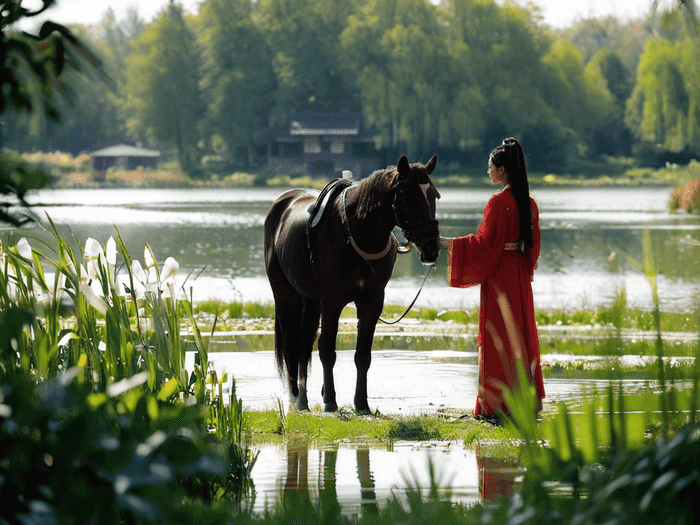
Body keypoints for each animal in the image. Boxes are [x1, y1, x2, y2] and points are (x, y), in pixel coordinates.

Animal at [266, 156, 440, 414]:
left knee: (305, 345)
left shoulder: (372, 301)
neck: (357, 233)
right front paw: (330, 401)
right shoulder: (331, 301)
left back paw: (304, 400)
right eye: (408, 195)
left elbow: (362, 355)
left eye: (434, 195)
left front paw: (361, 403)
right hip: (286, 294)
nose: (431, 247)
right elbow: (327, 350)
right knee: (292, 344)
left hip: (310, 299)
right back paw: (295, 399)